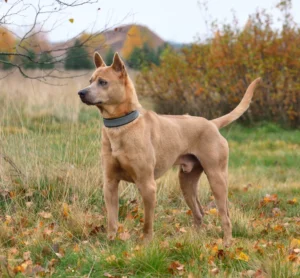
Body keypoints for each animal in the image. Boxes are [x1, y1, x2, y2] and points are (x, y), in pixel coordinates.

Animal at [79, 52, 260, 245]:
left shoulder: (147, 184)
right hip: (187, 181)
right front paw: (111, 241)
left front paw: (146, 244)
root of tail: (212, 123)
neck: (122, 126)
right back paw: (195, 240)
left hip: (217, 177)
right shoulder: (110, 183)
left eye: (103, 82)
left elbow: (147, 222)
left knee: (225, 215)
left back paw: (226, 243)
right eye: (90, 80)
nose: (81, 93)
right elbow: (112, 219)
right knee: (199, 212)